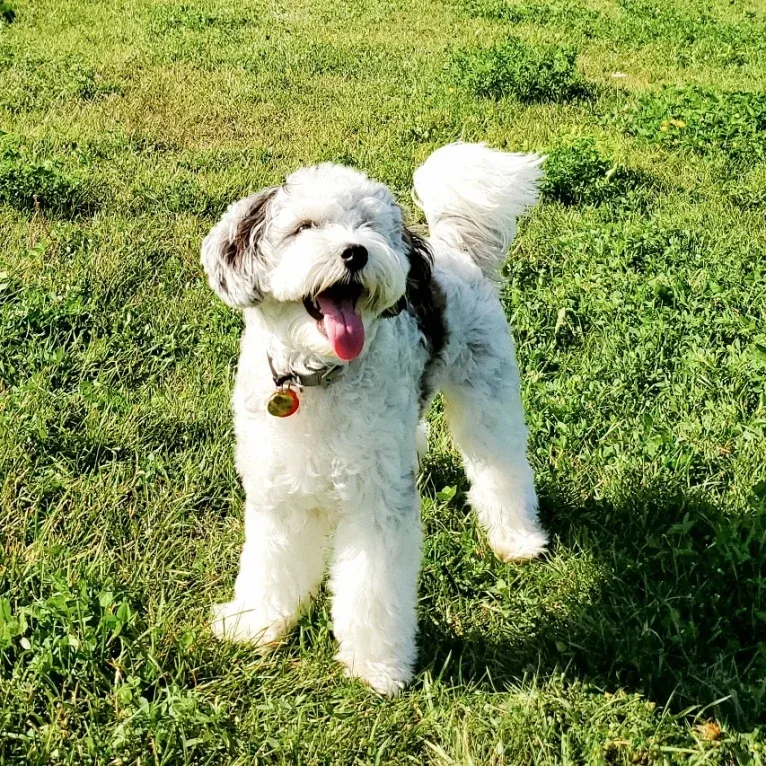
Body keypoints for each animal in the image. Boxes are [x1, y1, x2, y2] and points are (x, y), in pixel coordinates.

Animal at [204, 142, 548, 696]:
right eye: (304, 227)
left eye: (368, 227)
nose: (355, 252)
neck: (318, 378)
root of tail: (454, 246)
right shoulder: (277, 488)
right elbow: (270, 562)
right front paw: (257, 622)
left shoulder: (376, 505)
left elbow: (372, 588)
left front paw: (376, 667)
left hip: (486, 395)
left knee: (501, 466)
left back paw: (516, 538)